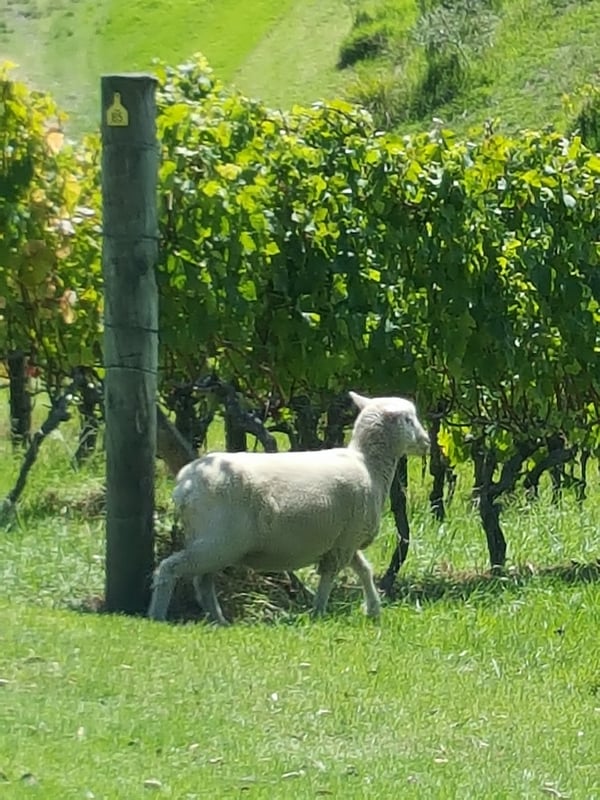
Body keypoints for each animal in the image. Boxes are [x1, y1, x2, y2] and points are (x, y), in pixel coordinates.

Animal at [148, 391, 430, 624]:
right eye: (409, 420)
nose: (427, 442)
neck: (369, 466)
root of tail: (185, 483)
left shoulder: (343, 541)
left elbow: (364, 569)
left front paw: (373, 609)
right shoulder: (345, 541)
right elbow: (329, 577)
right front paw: (319, 612)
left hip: (214, 541)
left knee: (203, 581)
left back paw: (219, 620)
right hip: (219, 539)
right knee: (171, 568)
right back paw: (157, 614)